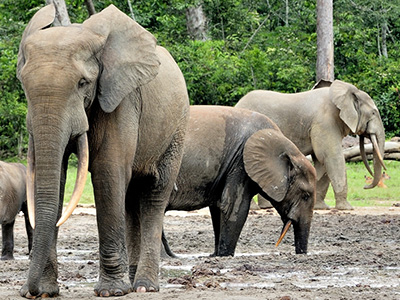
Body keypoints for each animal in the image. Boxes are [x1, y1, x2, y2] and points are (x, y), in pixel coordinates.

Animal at [17, 4, 189, 298]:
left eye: (82, 83)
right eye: (24, 86)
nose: (30, 291)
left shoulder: (121, 100)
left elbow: (108, 173)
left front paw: (111, 291)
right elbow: (53, 176)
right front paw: (46, 291)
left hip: (176, 130)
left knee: (154, 196)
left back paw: (144, 286)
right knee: (130, 198)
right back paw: (133, 280)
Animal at [162, 105, 316, 255]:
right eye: (305, 196)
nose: (300, 254)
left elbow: (218, 207)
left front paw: (217, 255)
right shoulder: (240, 162)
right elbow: (234, 208)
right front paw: (225, 255)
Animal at [236, 79, 386, 211]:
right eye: (373, 112)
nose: (365, 186)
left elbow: (322, 162)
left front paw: (320, 207)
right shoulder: (324, 122)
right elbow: (331, 157)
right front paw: (347, 208)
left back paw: (266, 207)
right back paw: (254, 208)